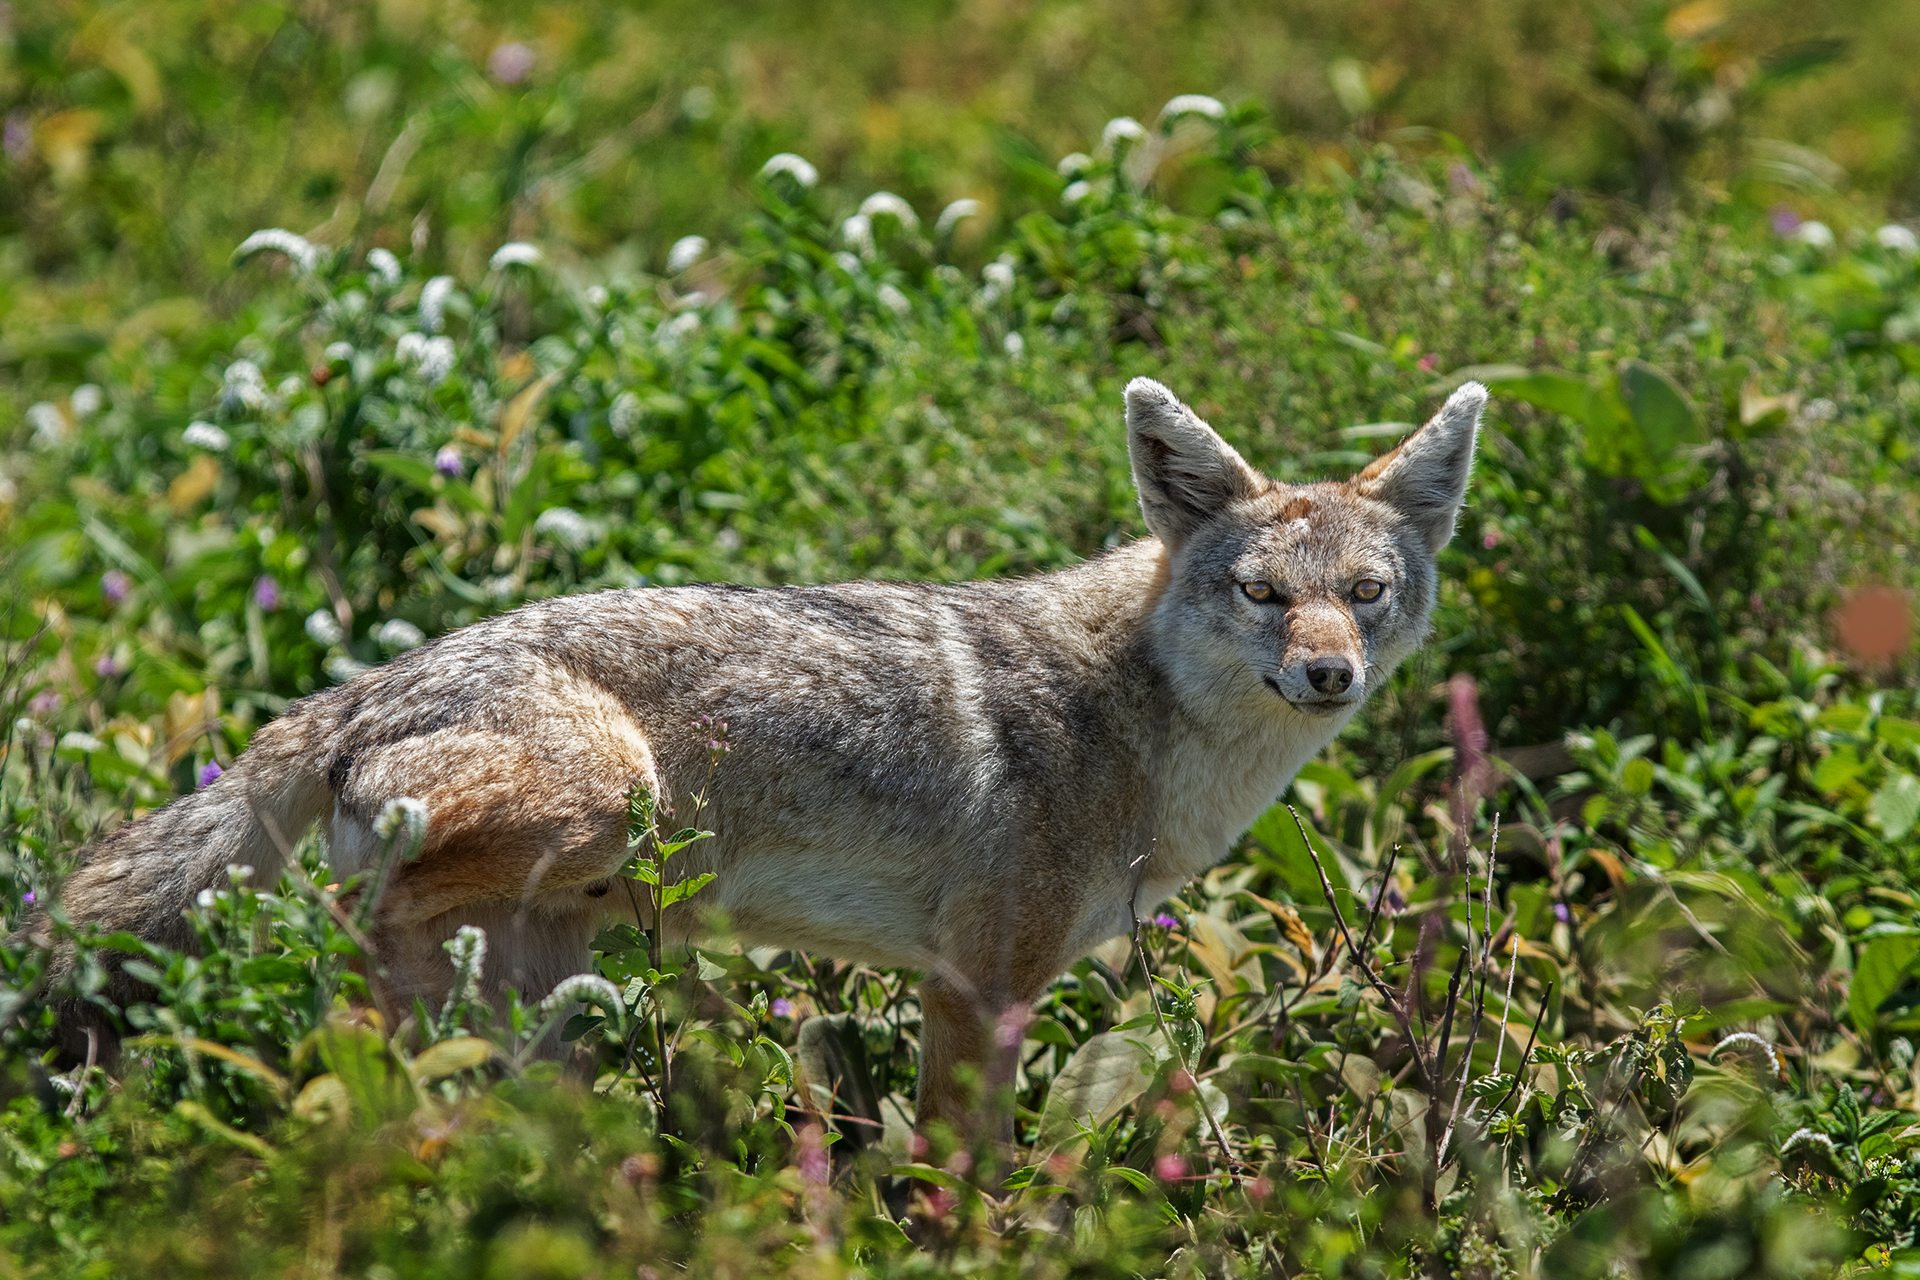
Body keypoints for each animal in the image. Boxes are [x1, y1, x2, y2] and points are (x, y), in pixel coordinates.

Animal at [48, 377, 1484, 1134]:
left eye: (1363, 594)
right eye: (1260, 593)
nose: (1329, 675)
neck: (1137, 718)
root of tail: (354, 690)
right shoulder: (982, 986)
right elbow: (965, 1178)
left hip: (537, 986)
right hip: (604, 810)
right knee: (351, 925)